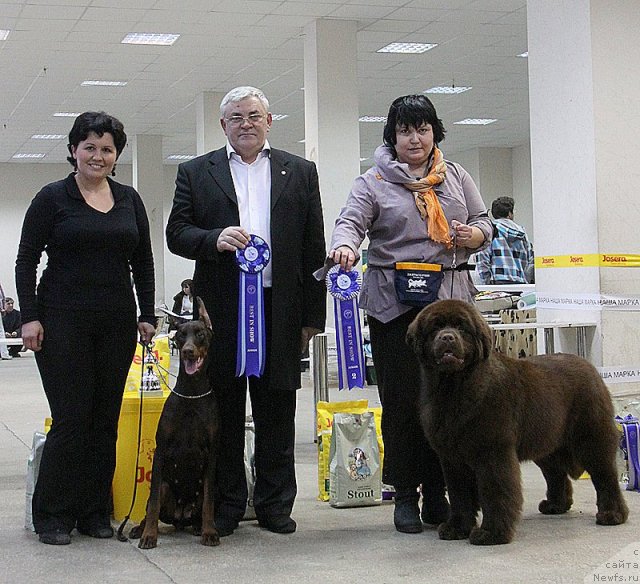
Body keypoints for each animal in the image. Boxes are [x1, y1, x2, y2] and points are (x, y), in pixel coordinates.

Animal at [408, 298, 628, 544]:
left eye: (461, 328)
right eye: (435, 328)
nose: (447, 337)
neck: (455, 388)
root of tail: (590, 367)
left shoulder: (492, 452)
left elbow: (495, 492)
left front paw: (491, 533)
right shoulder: (452, 458)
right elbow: (459, 494)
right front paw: (456, 528)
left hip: (590, 437)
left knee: (605, 476)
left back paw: (612, 514)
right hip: (546, 441)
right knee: (556, 473)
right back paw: (556, 505)